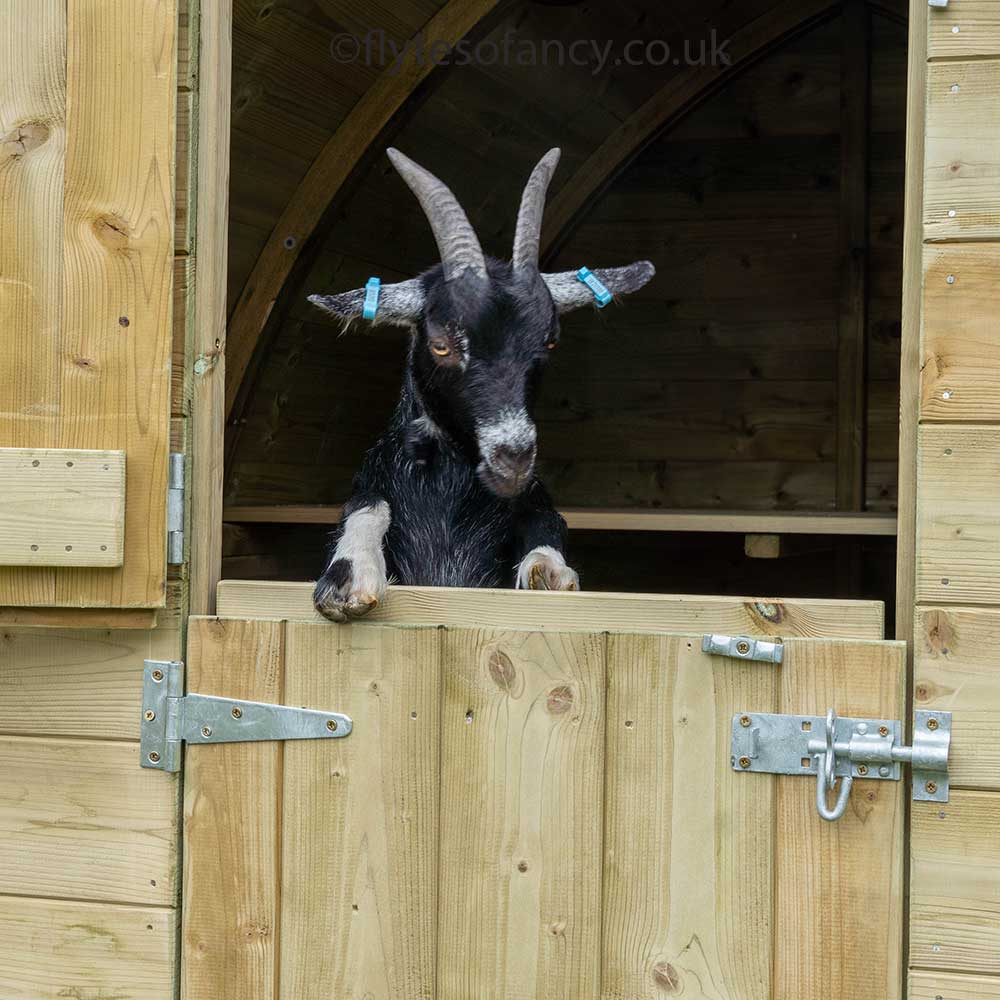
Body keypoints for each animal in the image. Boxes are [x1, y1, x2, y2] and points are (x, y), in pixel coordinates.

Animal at [308, 146, 652, 620]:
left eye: (549, 339)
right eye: (440, 345)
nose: (514, 458)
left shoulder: (535, 498)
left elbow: (546, 523)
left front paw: (550, 571)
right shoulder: (372, 480)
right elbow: (365, 507)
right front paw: (349, 576)